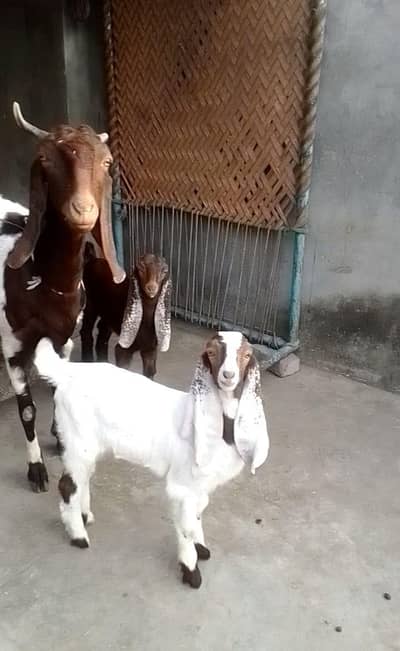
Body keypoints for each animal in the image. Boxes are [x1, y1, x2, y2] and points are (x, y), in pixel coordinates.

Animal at [0, 102, 125, 492]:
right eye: (47, 160)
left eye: (105, 161)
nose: (83, 210)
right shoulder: (13, 345)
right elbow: (27, 410)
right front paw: (36, 469)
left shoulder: (65, 339)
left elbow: (59, 388)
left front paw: (59, 434)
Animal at [34, 331, 269, 588]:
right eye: (211, 352)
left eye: (246, 355)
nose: (228, 376)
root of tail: (66, 372)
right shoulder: (183, 484)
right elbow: (186, 525)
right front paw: (191, 571)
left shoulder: (200, 485)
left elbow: (198, 513)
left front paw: (201, 548)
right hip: (77, 439)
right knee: (68, 485)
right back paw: (78, 536)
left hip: (89, 444)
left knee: (83, 479)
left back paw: (85, 516)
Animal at [80, 247, 171, 379]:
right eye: (141, 267)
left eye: (164, 270)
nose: (151, 288)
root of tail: (93, 259)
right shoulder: (124, 349)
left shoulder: (150, 349)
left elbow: (149, 373)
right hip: (90, 303)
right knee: (86, 331)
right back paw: (87, 360)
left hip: (109, 313)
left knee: (102, 331)